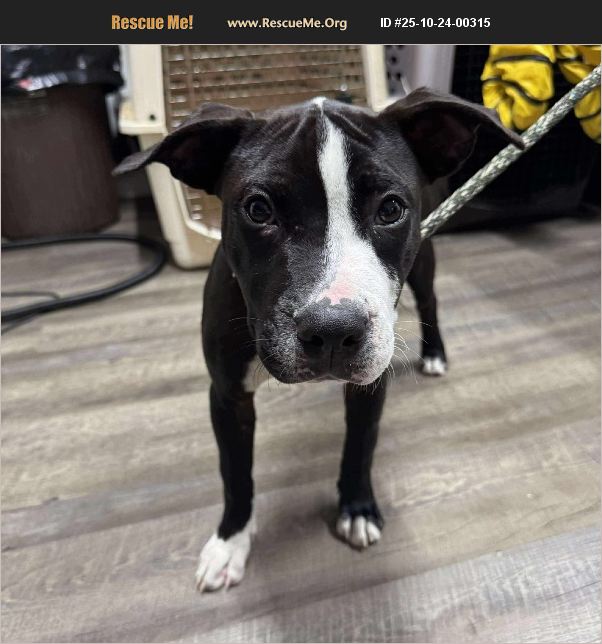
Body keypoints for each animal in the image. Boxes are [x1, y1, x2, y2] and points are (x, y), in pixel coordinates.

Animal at [115, 88, 521, 591]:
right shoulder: (227, 395)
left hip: (425, 258)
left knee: (430, 302)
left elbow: (361, 444)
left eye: (390, 209)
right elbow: (235, 474)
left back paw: (434, 354)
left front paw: (357, 508)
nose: (333, 330)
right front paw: (230, 542)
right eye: (258, 210)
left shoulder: (370, 380)